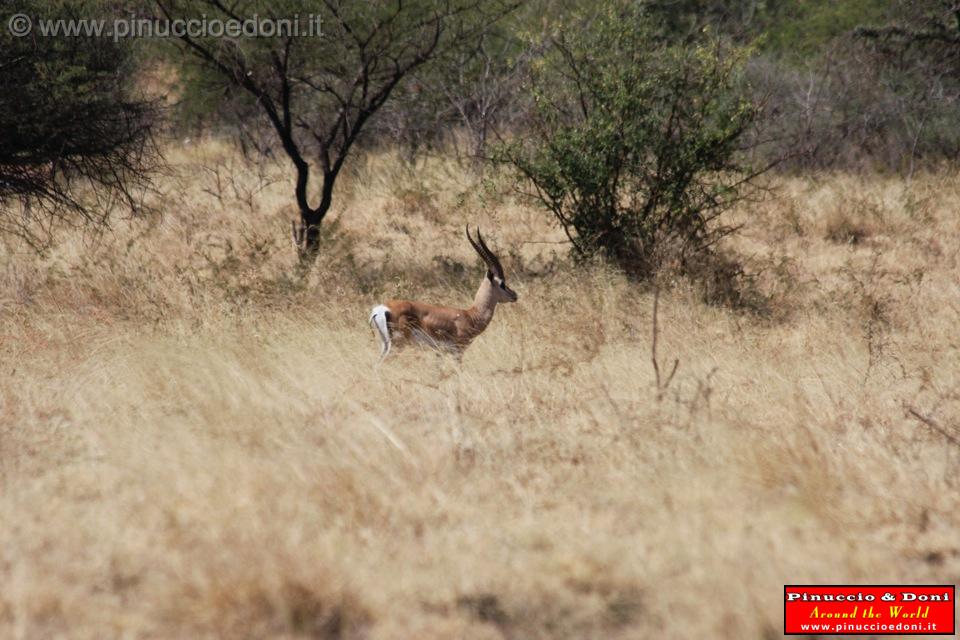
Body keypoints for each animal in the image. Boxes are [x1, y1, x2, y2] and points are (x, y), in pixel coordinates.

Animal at [368, 228, 516, 362]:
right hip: (396, 346)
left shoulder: (439, 353)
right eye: (502, 283)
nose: (514, 295)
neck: (471, 315)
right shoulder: (458, 352)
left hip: (386, 345)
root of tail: (381, 309)